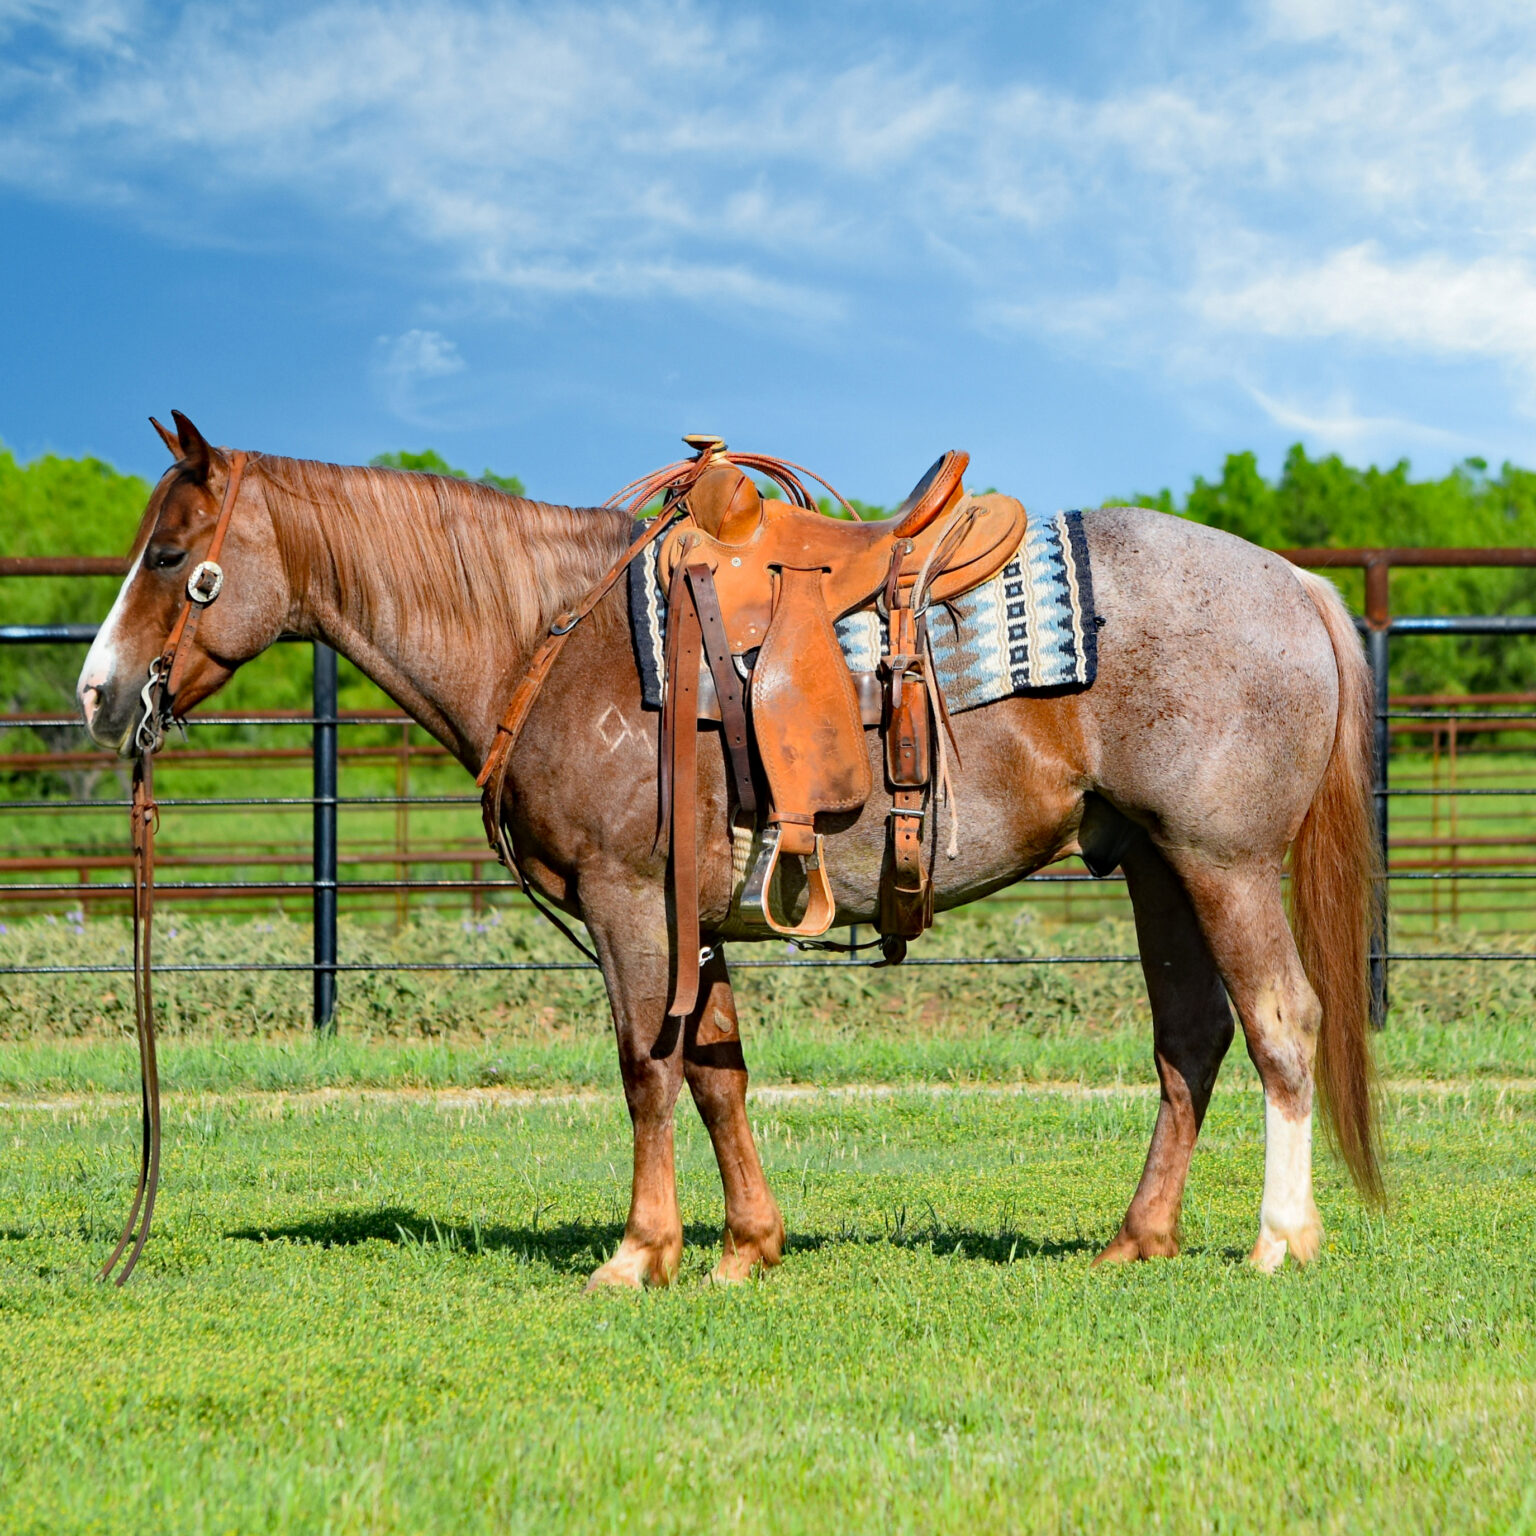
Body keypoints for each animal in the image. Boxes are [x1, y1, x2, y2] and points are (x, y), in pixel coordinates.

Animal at [74, 414, 1382, 1290]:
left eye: (167, 555)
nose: (96, 695)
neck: (554, 637)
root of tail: (1297, 585)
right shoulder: (689, 916)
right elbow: (718, 1071)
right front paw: (747, 1247)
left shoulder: (627, 903)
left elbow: (646, 1071)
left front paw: (638, 1253)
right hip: (1157, 865)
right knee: (1192, 1042)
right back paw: (1136, 1238)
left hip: (1222, 862)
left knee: (1281, 1023)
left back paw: (1280, 1238)